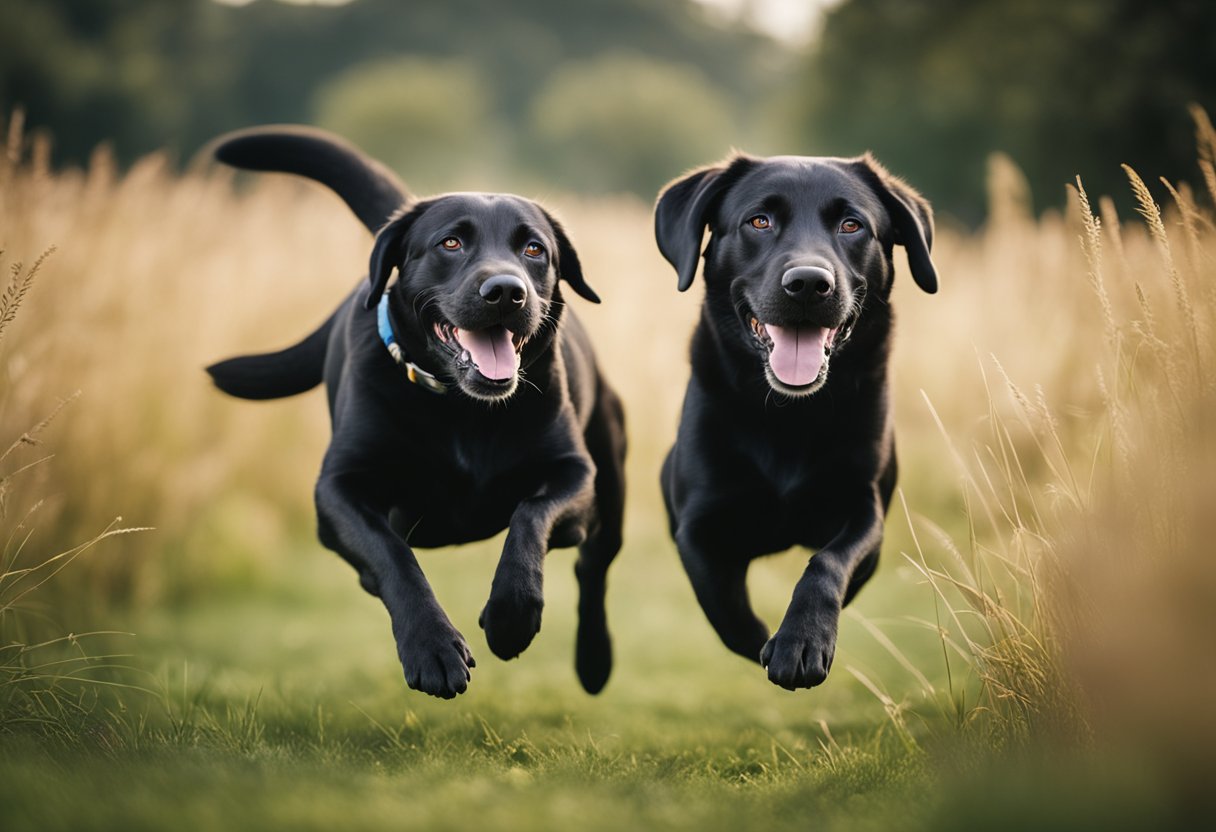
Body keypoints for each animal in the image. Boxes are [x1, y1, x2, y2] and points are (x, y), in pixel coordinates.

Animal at [206, 126, 627, 700]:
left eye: (534, 249)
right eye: (451, 243)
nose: (506, 291)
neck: (462, 409)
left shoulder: (575, 475)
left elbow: (530, 516)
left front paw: (510, 616)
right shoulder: (336, 492)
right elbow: (391, 553)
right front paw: (431, 647)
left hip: (612, 472)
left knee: (595, 566)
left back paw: (594, 661)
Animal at [651, 152, 933, 690]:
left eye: (851, 225)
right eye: (759, 221)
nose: (808, 284)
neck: (790, 415)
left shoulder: (866, 510)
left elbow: (827, 562)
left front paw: (801, 640)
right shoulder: (697, 525)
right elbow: (724, 608)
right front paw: (765, 643)